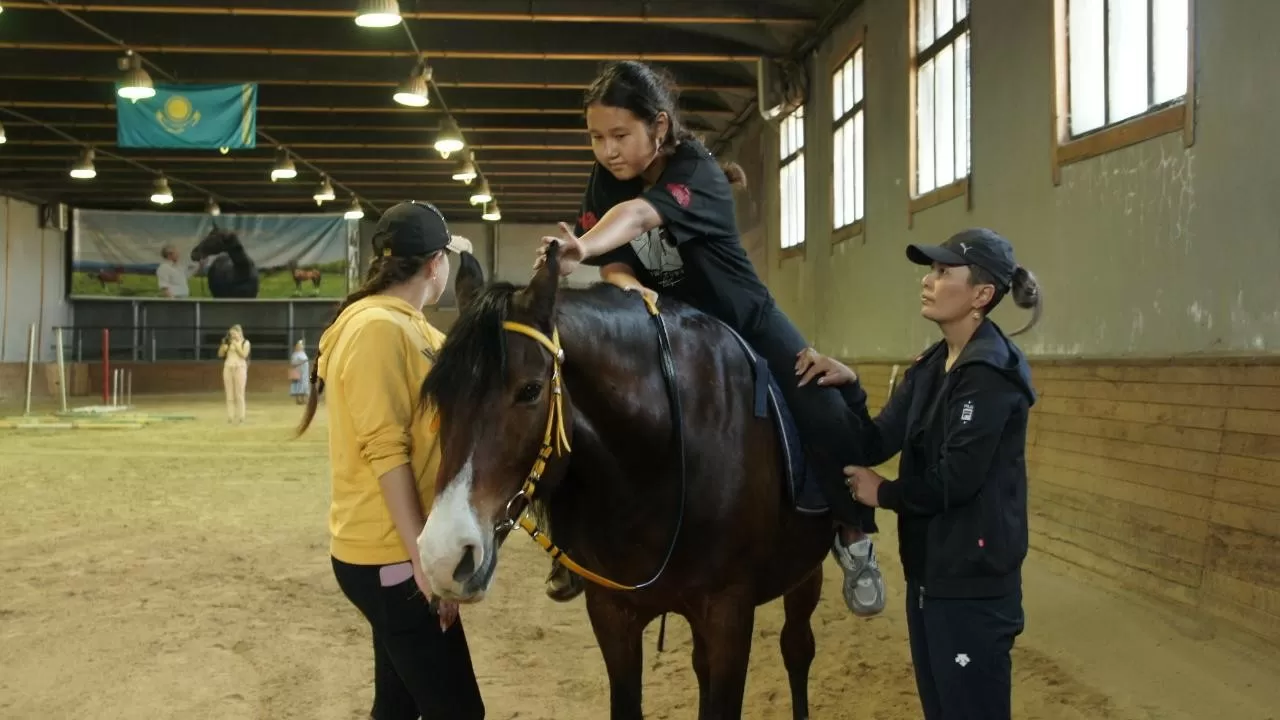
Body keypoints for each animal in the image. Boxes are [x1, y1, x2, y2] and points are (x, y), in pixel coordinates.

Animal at [419, 243, 834, 712]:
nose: (441, 557)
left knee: (796, 648)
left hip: (803, 573)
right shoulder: (613, 614)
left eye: (529, 390)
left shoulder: (729, 613)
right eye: (439, 395)